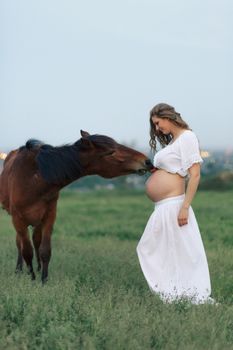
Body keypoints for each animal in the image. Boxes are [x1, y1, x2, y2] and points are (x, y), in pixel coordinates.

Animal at [0, 130, 154, 284]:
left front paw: (43, 280)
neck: (35, 179)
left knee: (35, 241)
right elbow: (26, 251)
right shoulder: (18, 219)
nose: (147, 161)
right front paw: (31, 279)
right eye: (111, 152)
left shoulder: (49, 216)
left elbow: (45, 250)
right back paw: (20, 270)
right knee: (20, 244)